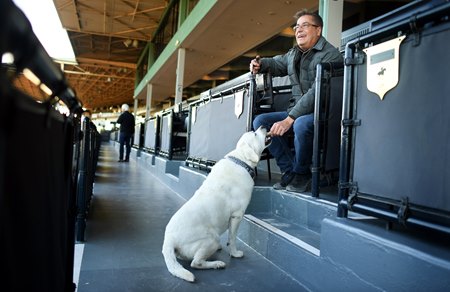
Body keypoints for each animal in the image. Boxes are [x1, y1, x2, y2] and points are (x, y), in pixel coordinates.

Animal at [162, 126, 268, 282]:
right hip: (212, 239)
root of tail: (169, 240)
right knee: (196, 263)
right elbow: (232, 238)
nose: (263, 126)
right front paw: (235, 253)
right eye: (255, 134)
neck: (240, 160)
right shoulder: (237, 215)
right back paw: (217, 264)